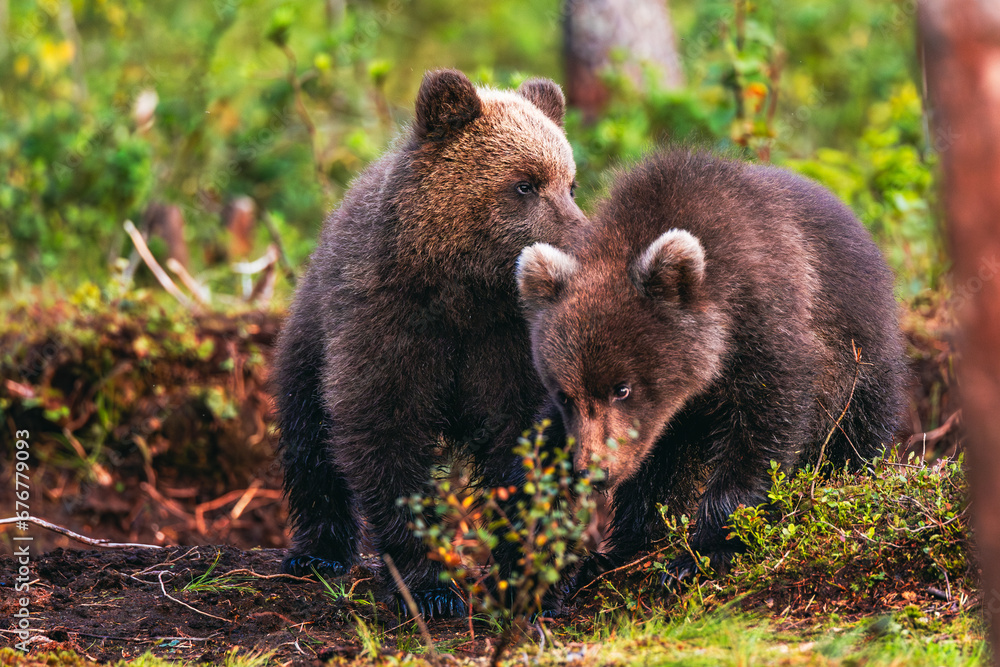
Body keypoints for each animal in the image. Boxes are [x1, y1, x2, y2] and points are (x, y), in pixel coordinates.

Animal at [274, 69, 586, 617]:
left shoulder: (510, 346)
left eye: (570, 183)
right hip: (311, 336)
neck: (466, 294)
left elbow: (527, 443)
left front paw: (533, 579)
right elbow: (385, 434)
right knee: (307, 435)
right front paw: (430, 586)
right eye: (524, 184)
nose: (584, 240)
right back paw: (317, 551)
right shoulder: (387, 324)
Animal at [516, 149, 907, 590]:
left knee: (861, 423)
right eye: (566, 394)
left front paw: (705, 549)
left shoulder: (767, 328)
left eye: (622, 388)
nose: (593, 471)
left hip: (861, 353)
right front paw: (583, 554)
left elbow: (762, 431)